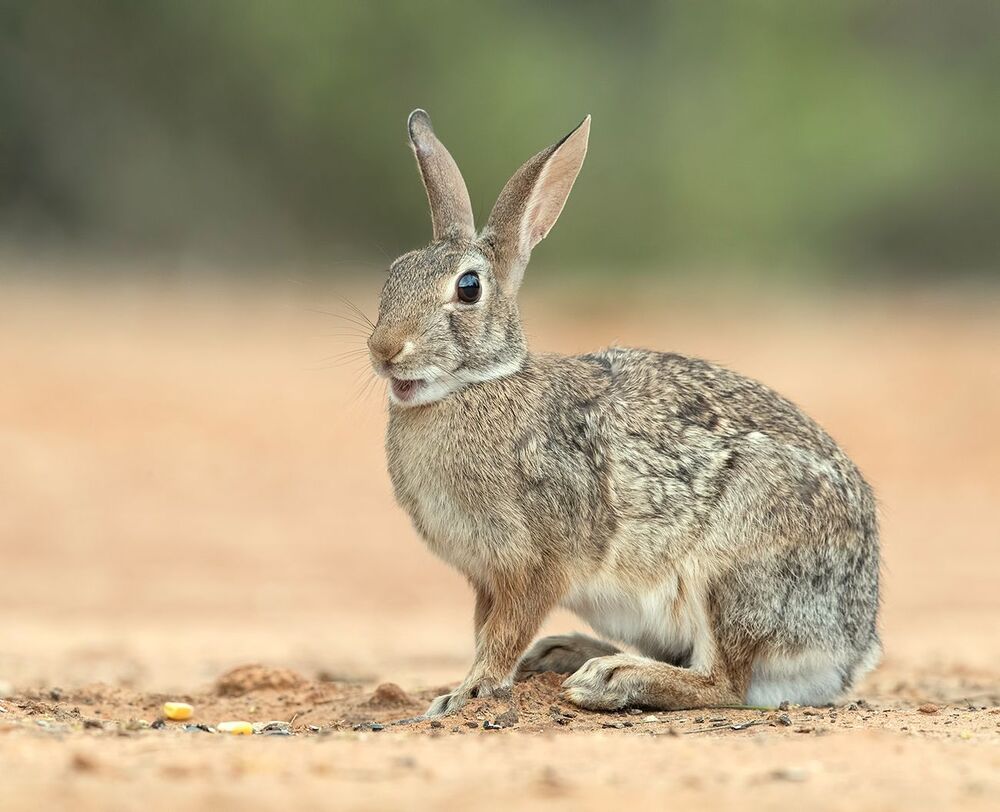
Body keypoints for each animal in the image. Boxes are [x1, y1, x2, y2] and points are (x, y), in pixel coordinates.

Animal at [367, 109, 881, 717]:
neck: (476, 385)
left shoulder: (535, 565)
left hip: (734, 566)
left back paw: (608, 679)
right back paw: (565, 653)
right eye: (394, 271)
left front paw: (466, 693)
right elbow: (485, 630)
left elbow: (501, 634)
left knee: (724, 682)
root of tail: (849, 648)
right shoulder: (485, 577)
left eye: (468, 288)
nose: (383, 349)